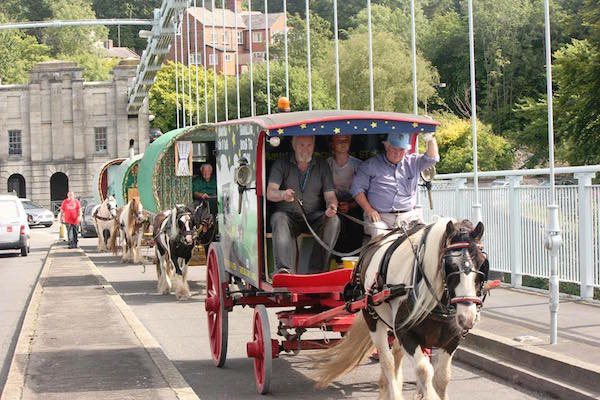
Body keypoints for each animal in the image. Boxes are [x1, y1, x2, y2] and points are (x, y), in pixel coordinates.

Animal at [312, 219, 490, 400]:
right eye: (450, 265)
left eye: (483, 264)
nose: (467, 318)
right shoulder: (405, 333)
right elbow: (424, 370)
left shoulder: (452, 339)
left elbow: (442, 377)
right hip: (372, 319)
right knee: (387, 361)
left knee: (396, 354)